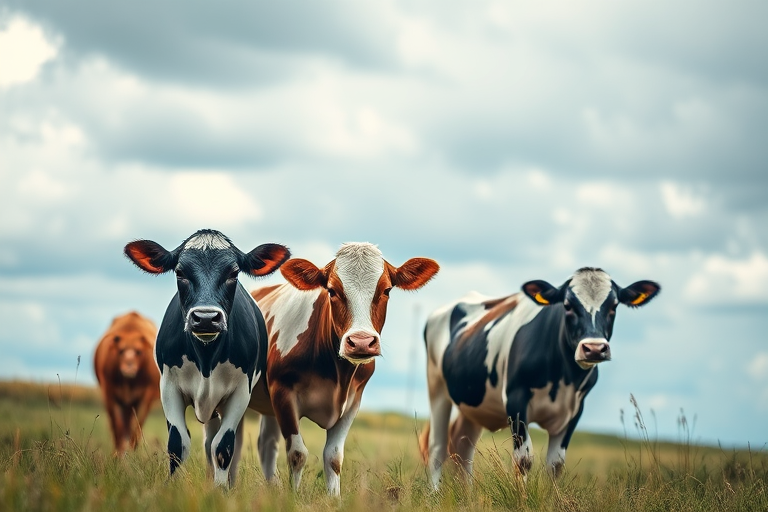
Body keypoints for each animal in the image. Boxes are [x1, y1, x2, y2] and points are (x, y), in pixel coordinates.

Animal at [93, 311, 161, 453]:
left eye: (138, 351)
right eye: (121, 351)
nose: (129, 366)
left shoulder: (146, 396)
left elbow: (137, 427)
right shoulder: (109, 392)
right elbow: (117, 428)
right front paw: (117, 454)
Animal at [124, 229, 290, 487]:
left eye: (233, 273)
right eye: (180, 272)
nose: (205, 318)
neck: (206, 360)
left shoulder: (241, 392)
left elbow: (223, 447)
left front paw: (221, 490)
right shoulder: (168, 387)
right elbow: (178, 444)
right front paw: (173, 488)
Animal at [249, 242, 440, 495]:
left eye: (387, 290)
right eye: (331, 290)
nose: (361, 342)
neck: (335, 373)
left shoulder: (352, 401)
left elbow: (333, 457)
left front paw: (333, 498)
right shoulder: (283, 392)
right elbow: (297, 453)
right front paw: (293, 497)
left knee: (266, 444)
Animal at [420, 267, 660, 488]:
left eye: (614, 306)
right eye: (567, 305)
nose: (593, 348)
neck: (564, 378)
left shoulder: (575, 409)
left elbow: (556, 464)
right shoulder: (515, 400)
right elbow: (523, 459)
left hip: (473, 402)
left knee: (462, 446)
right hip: (437, 387)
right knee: (437, 447)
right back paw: (435, 494)